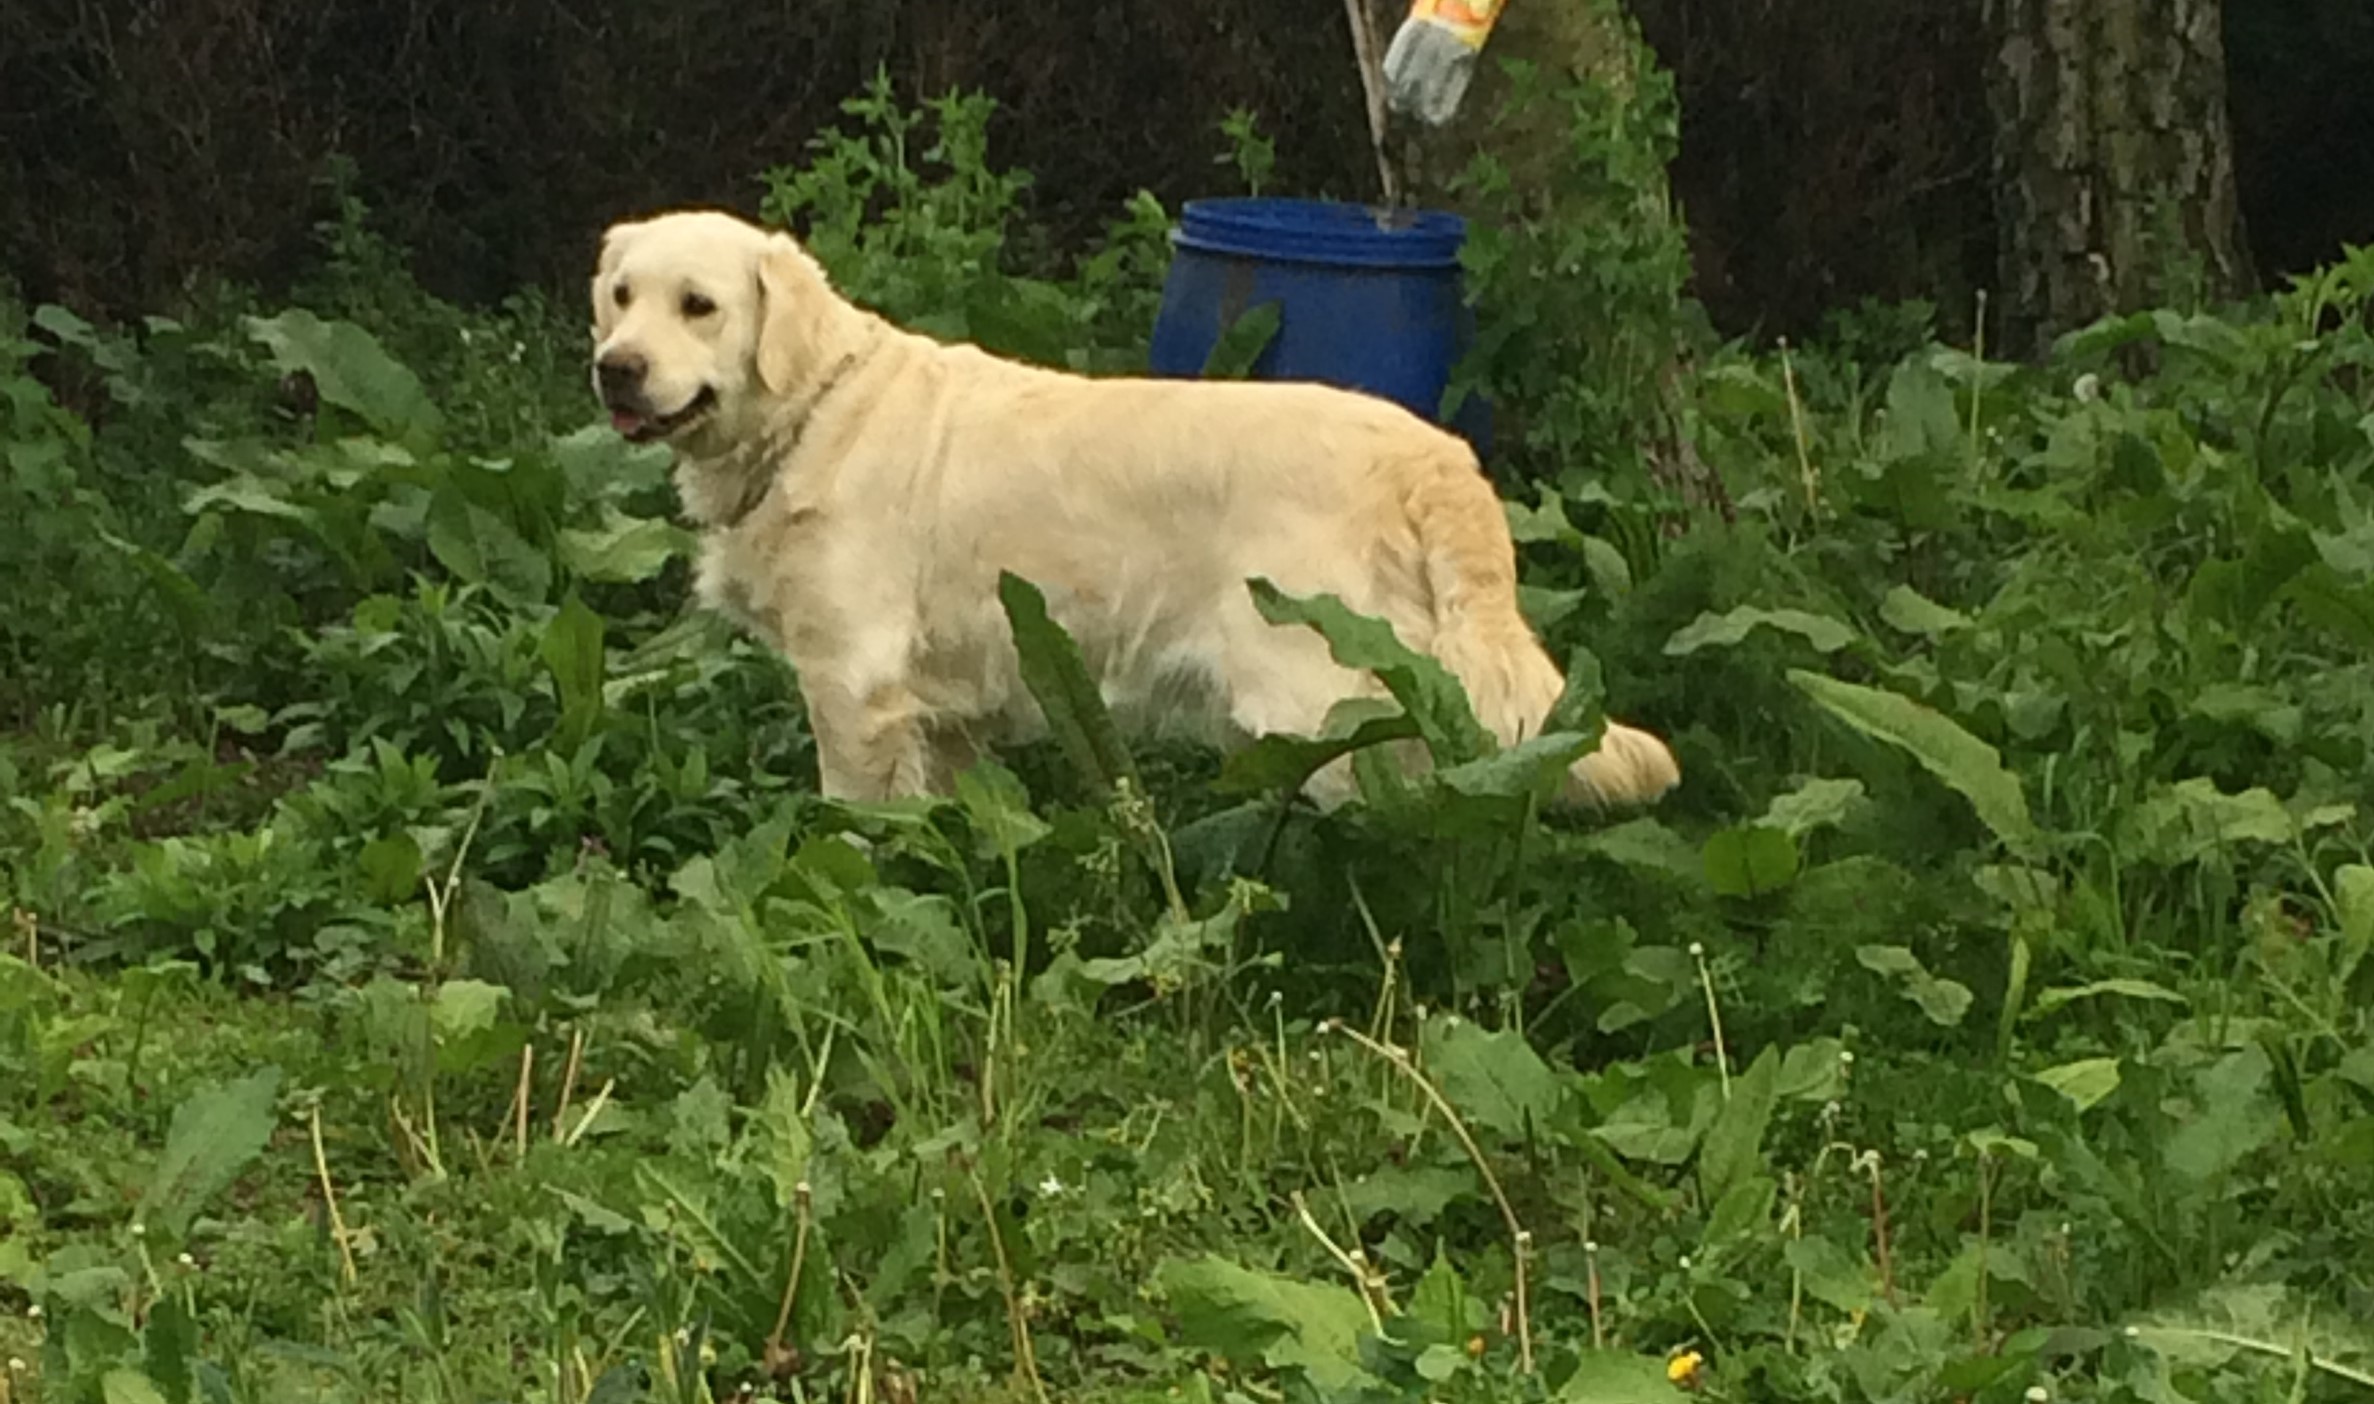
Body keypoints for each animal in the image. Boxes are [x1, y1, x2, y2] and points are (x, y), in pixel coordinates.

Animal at [588, 208, 1679, 811]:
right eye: (620, 295)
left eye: (700, 305)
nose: (615, 369)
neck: (815, 411)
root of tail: (1432, 455)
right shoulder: (945, 715)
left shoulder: (855, 689)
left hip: (1320, 709)